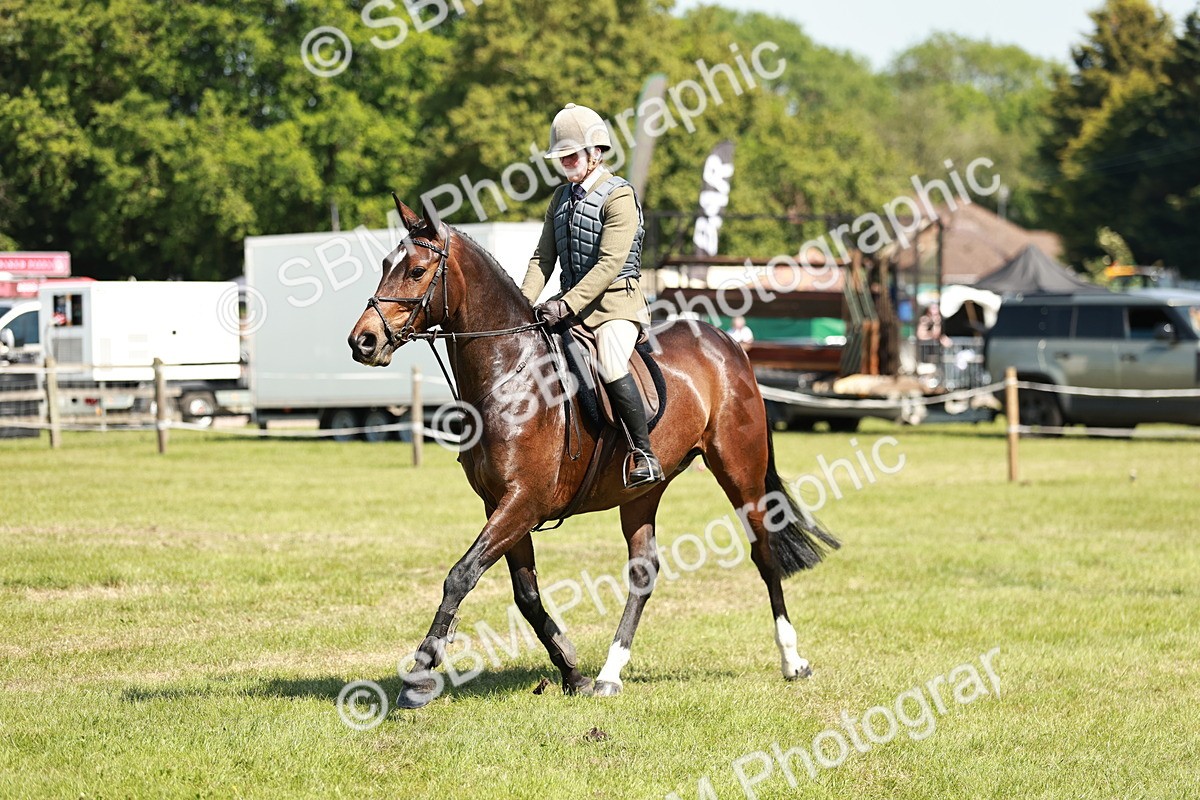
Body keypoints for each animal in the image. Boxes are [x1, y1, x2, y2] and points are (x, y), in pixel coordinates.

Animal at [348, 198, 840, 708]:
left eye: (417, 271)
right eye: (385, 265)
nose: (363, 341)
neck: (510, 374)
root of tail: (726, 344)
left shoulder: (523, 502)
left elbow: (461, 576)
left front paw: (419, 676)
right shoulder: (501, 504)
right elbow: (526, 594)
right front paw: (571, 669)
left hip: (740, 472)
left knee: (764, 553)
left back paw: (792, 661)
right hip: (642, 491)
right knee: (644, 571)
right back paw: (610, 673)